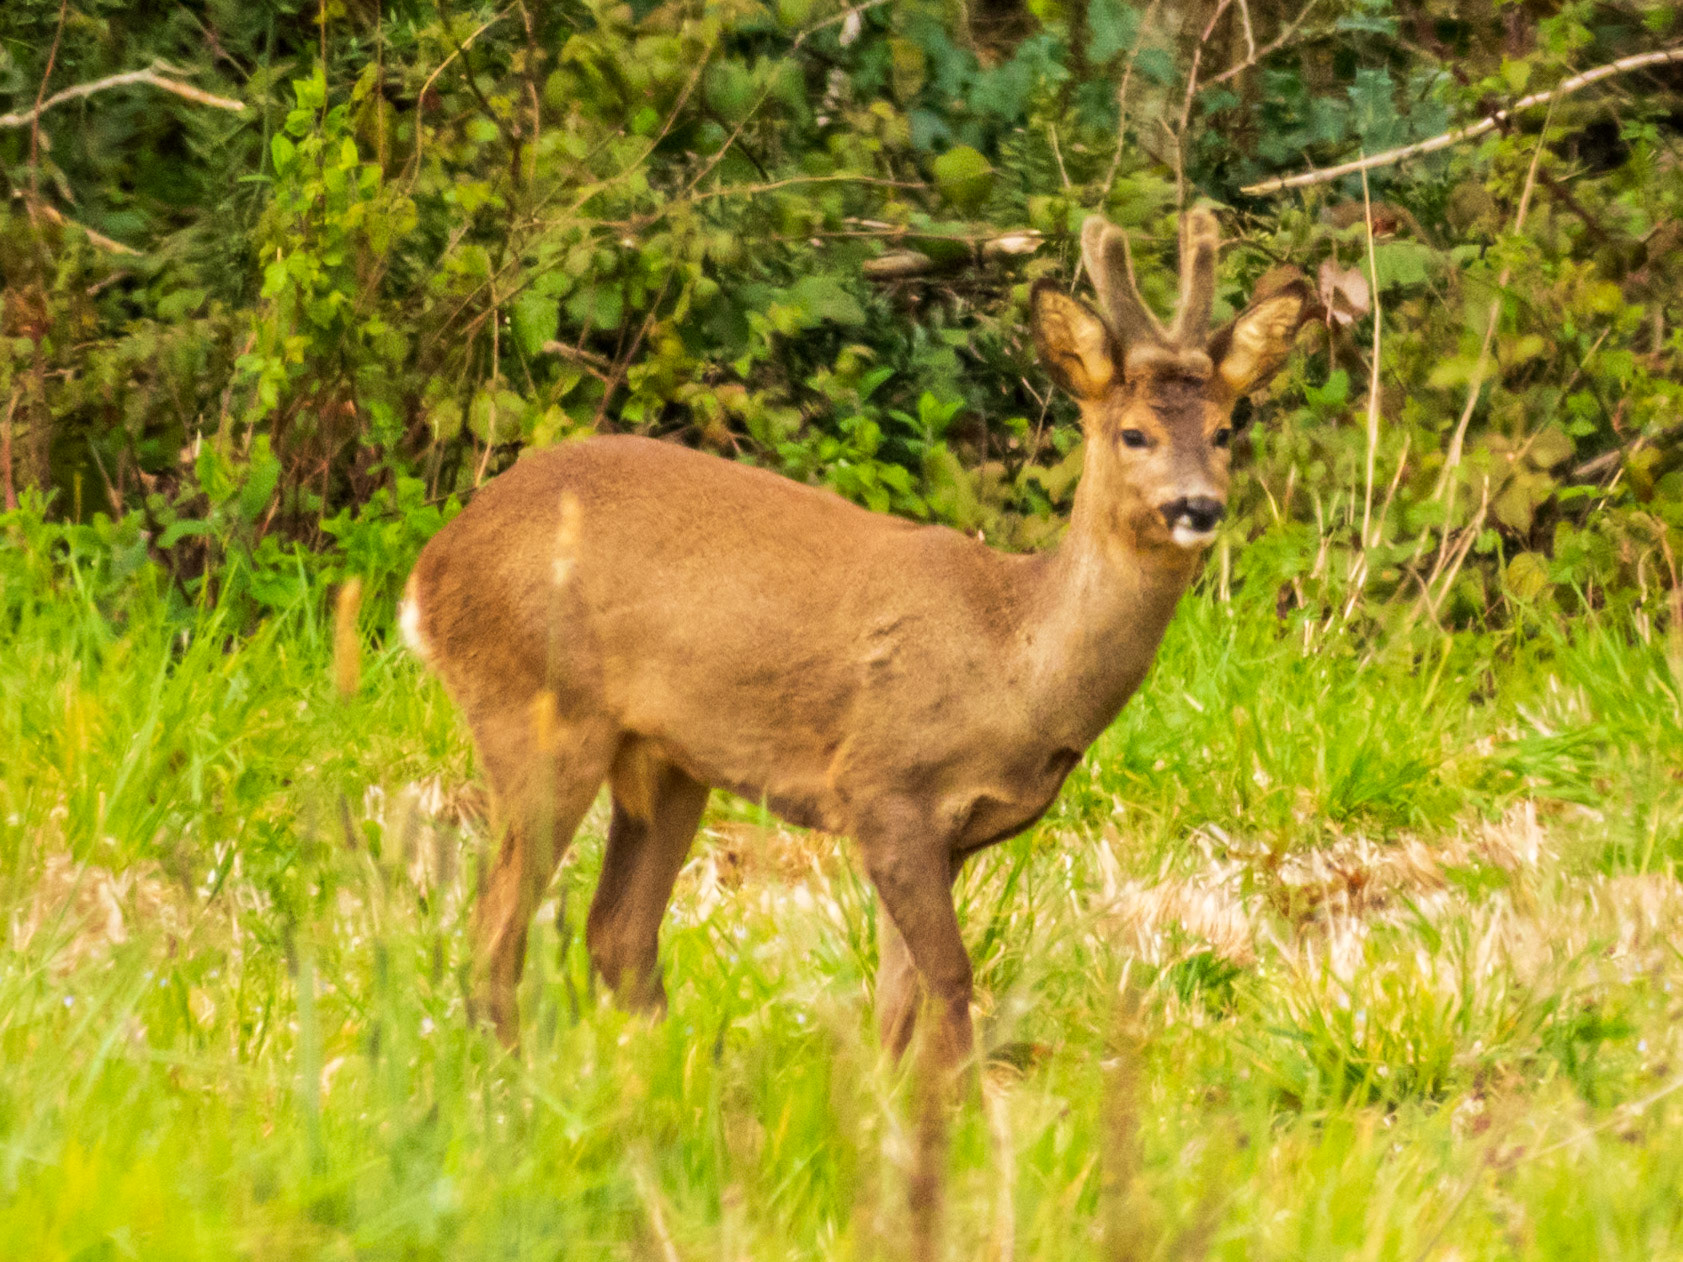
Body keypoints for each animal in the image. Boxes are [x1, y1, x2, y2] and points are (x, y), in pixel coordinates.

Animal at [400, 208, 1314, 1063]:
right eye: (1133, 433)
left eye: (1225, 429)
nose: (1196, 506)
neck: (1014, 660)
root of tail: (430, 572)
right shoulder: (883, 784)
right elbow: (949, 980)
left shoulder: (946, 833)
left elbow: (898, 1002)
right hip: (537, 705)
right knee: (496, 925)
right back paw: (512, 1073)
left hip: (664, 758)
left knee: (616, 931)